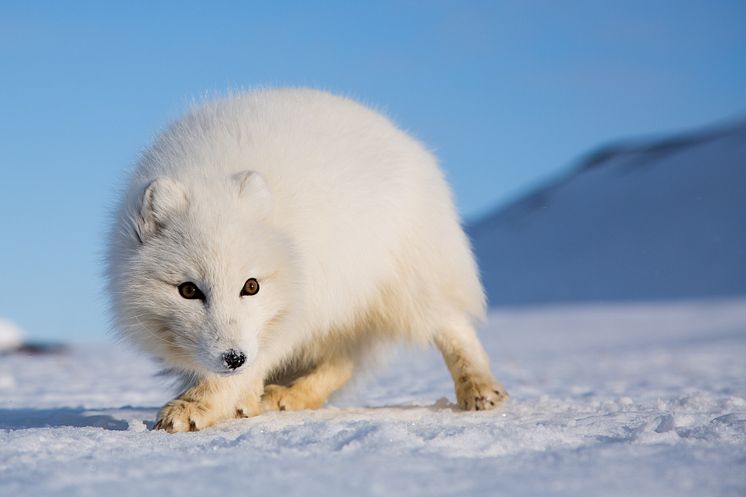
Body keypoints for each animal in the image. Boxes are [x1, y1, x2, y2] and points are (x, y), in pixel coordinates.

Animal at [106, 88, 506, 430]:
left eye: (251, 286)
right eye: (188, 291)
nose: (233, 357)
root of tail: (401, 136)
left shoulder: (290, 313)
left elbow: (246, 368)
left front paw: (195, 406)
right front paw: (237, 403)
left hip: (406, 281)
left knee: (452, 325)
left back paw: (480, 389)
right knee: (345, 359)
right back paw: (290, 395)